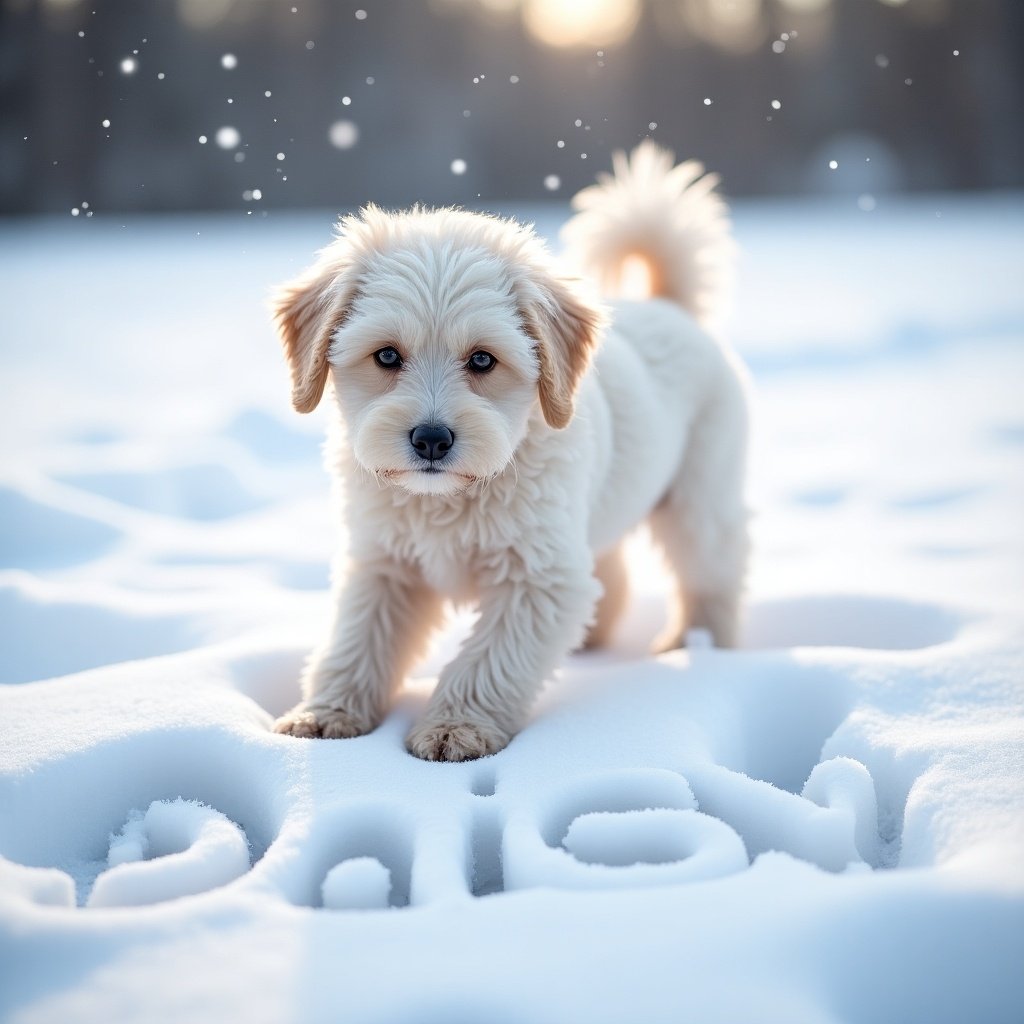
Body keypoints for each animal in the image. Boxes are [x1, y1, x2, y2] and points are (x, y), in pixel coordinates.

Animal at [274, 142, 753, 761]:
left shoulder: (537, 578)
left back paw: (700, 646)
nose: (431, 439)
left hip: (699, 499)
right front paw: (326, 713)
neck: (448, 501)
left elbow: (488, 661)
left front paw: (456, 727)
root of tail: (668, 305)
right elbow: (357, 638)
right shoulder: (384, 562)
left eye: (482, 359)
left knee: (711, 573)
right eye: (386, 356)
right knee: (611, 573)